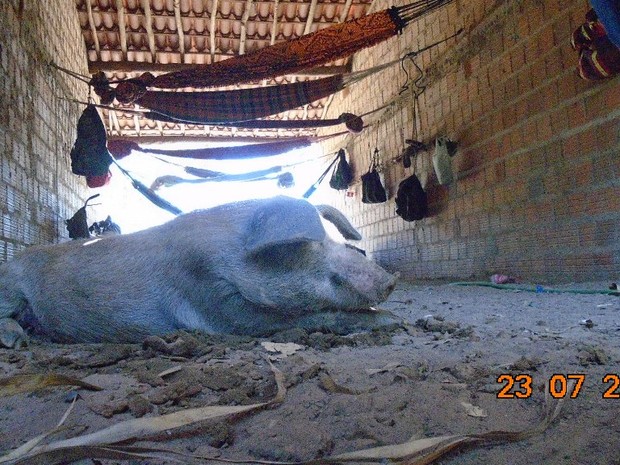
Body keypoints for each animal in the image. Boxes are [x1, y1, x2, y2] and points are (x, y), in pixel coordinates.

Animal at [0, 195, 398, 344]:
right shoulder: (211, 296)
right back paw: (18, 341)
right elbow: (275, 322)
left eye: (343, 243)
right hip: (9, 286)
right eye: (316, 245)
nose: (392, 280)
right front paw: (390, 321)